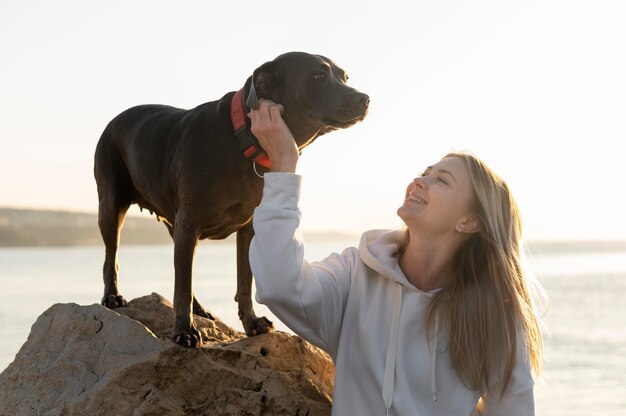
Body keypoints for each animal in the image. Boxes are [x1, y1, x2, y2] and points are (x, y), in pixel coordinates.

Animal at [92, 52, 366, 348]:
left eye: (345, 77)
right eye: (318, 76)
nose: (364, 98)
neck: (241, 139)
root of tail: (114, 120)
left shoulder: (247, 229)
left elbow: (244, 281)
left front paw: (251, 322)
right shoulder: (189, 223)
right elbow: (182, 287)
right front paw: (184, 331)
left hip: (173, 224)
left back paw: (200, 310)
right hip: (111, 205)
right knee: (112, 257)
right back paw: (112, 297)